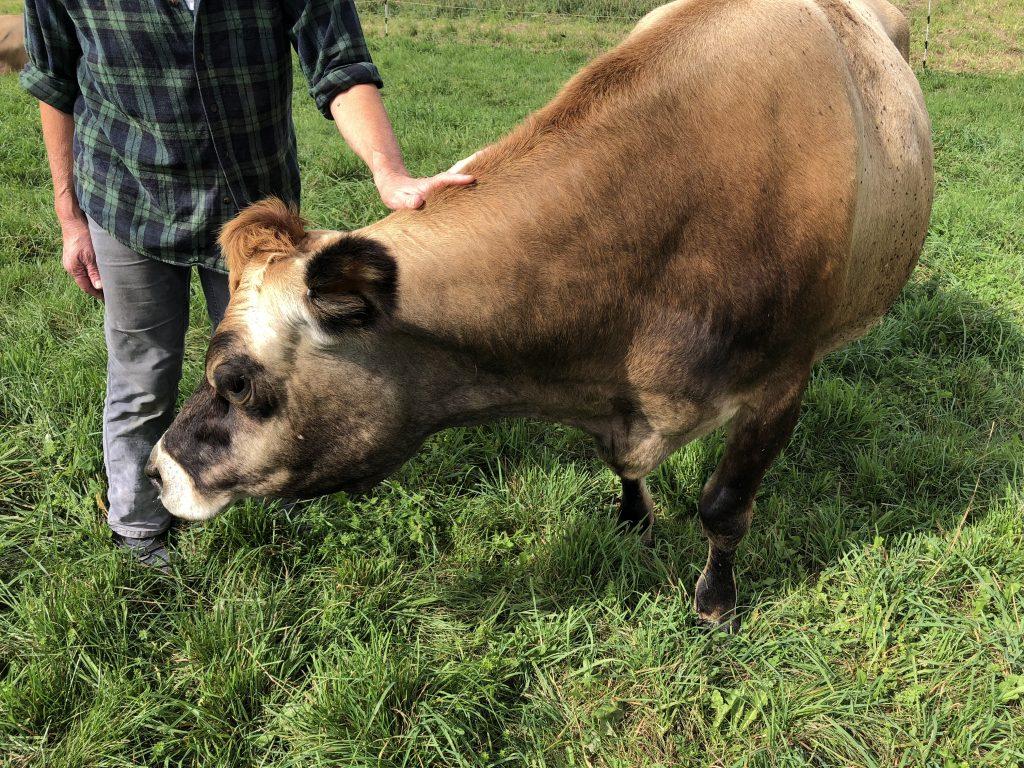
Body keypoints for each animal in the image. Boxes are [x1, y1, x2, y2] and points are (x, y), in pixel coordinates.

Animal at [148, 0, 933, 630]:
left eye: (236, 381)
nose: (157, 470)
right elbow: (623, 473)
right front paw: (633, 521)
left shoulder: (778, 385)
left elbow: (724, 506)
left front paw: (715, 602)